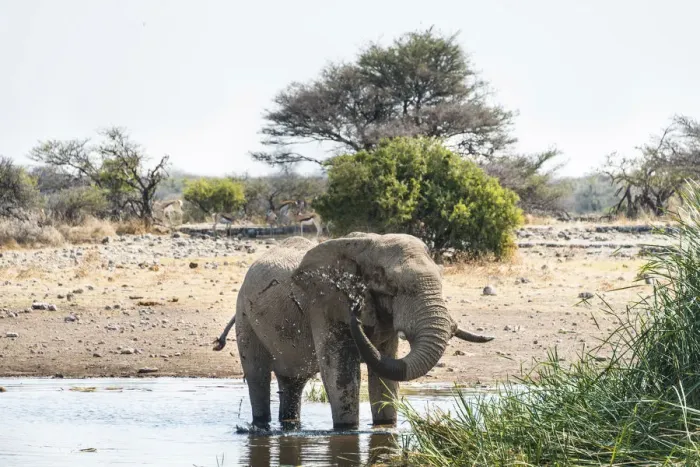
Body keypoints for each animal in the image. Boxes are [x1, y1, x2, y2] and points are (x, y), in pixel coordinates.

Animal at [213, 233, 494, 431]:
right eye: (393, 288)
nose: (355, 311)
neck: (369, 244)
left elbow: (385, 376)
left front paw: (385, 426)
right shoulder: (324, 302)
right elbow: (341, 373)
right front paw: (347, 430)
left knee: (293, 382)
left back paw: (290, 425)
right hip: (245, 315)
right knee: (258, 376)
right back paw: (261, 426)